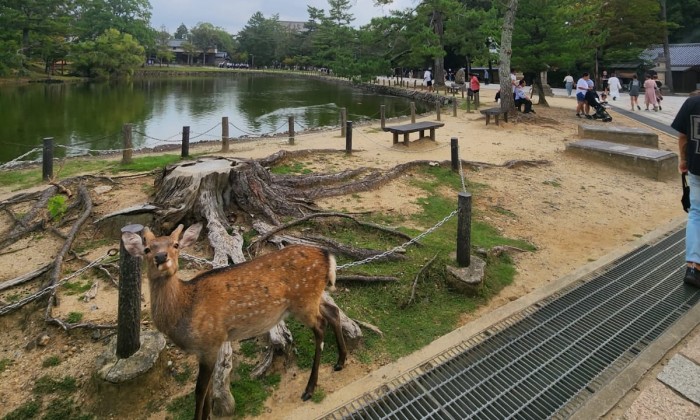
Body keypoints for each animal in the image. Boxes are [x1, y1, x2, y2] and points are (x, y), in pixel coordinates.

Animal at [121, 223, 347, 420]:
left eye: (175, 245)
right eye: (147, 248)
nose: (161, 257)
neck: (184, 311)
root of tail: (328, 256)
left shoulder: (210, 342)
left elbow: (200, 391)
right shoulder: (206, 349)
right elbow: (209, 389)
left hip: (304, 300)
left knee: (320, 327)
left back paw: (309, 389)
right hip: (312, 298)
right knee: (333, 311)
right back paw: (340, 361)